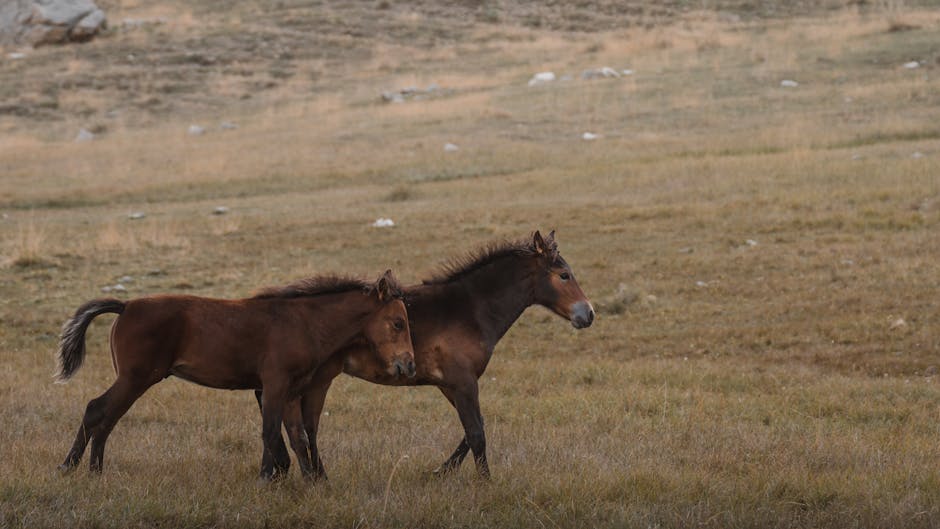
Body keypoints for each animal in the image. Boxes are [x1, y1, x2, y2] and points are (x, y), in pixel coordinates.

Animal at [57, 270, 414, 480]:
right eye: (398, 323)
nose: (408, 365)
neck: (304, 323)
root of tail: (126, 305)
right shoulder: (275, 385)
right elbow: (271, 430)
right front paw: (268, 478)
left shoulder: (291, 391)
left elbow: (296, 435)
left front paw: (308, 481)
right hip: (136, 378)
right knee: (98, 410)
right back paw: (71, 467)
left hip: (134, 380)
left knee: (106, 415)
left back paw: (92, 470)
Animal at [260, 231, 592, 478]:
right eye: (564, 275)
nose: (588, 314)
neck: (471, 309)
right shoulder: (463, 382)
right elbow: (476, 433)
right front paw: (485, 482)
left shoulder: (450, 384)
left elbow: (474, 428)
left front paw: (440, 471)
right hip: (315, 379)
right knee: (297, 425)